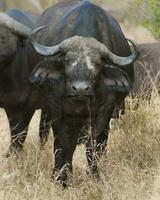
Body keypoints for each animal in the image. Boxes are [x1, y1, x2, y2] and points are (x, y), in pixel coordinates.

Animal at [28, 0, 139, 186]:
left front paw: (94, 176)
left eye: (97, 64)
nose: (80, 89)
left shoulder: (105, 110)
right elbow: (62, 144)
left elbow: (93, 145)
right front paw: (60, 178)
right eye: (68, 60)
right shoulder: (56, 108)